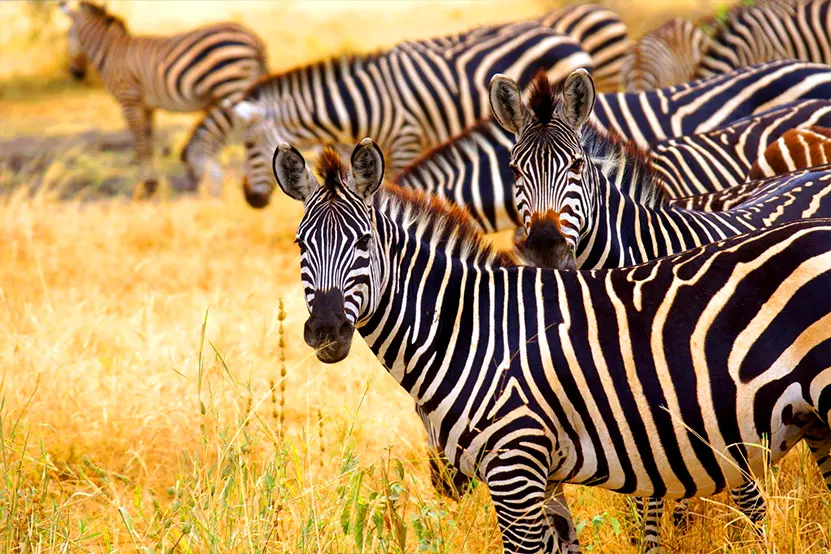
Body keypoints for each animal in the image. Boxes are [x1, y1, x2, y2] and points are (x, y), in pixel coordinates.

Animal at [59, 0, 266, 196]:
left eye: (67, 35)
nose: (76, 74)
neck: (111, 51)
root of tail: (253, 38)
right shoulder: (147, 105)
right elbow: (148, 142)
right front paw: (153, 183)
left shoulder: (129, 99)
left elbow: (139, 142)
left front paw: (147, 186)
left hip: (232, 87)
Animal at [272, 140, 831, 552]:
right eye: (300, 245)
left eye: (364, 242)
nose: (326, 330)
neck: (473, 330)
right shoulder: (543, 478)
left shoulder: (515, 467)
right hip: (816, 424)